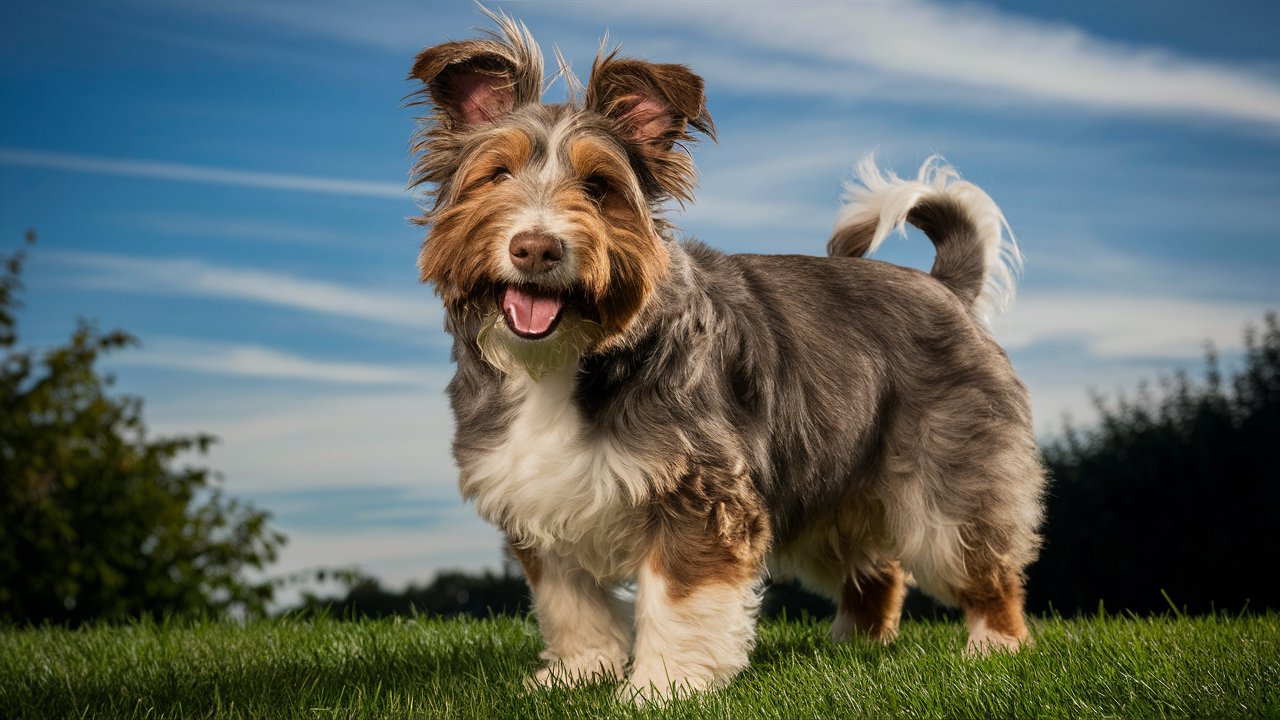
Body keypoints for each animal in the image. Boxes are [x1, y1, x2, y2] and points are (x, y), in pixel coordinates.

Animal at [404, 8, 1044, 696]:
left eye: (599, 187)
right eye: (497, 175)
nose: (536, 247)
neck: (569, 358)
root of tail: (948, 289)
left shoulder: (701, 491)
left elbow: (678, 596)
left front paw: (659, 686)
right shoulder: (538, 495)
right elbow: (569, 601)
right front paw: (579, 673)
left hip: (951, 482)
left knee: (982, 560)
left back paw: (996, 646)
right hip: (832, 489)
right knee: (876, 572)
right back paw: (852, 648)